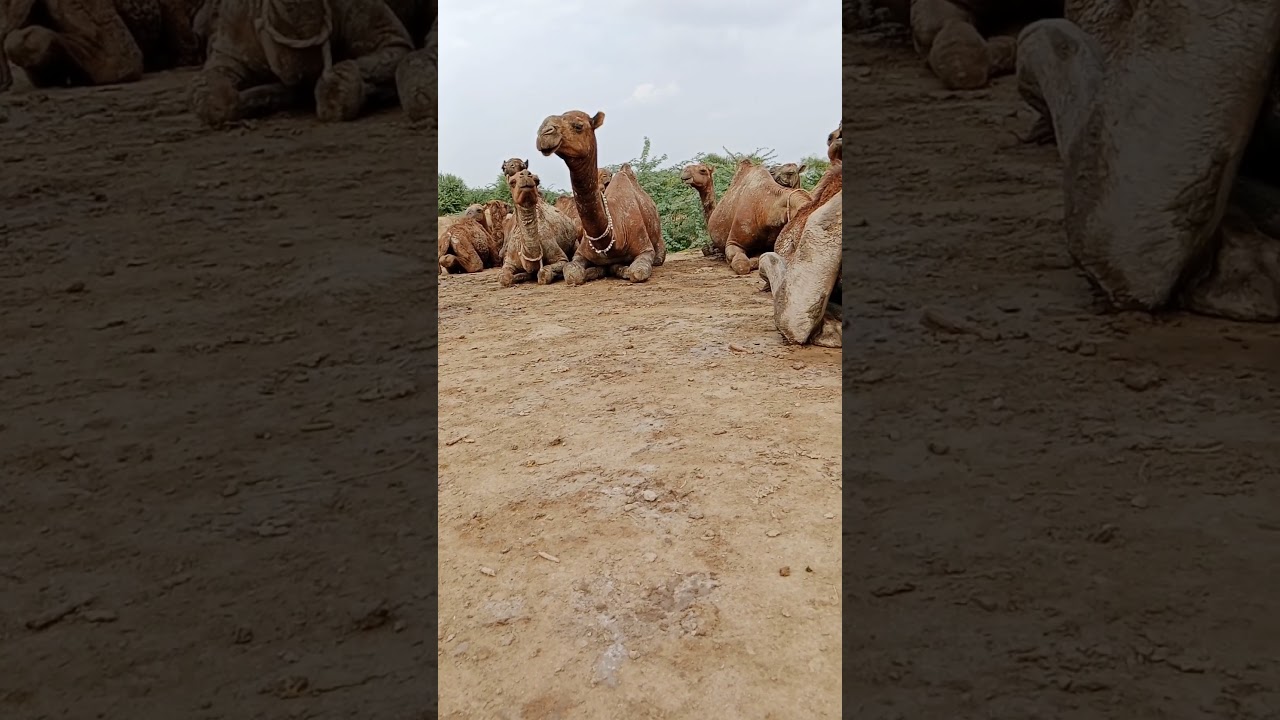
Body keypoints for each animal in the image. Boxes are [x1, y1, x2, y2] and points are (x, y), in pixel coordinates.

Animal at [535, 110, 665, 285]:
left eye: (578, 126)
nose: (544, 134)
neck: (615, 234)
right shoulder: (580, 253)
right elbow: (572, 273)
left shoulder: (646, 249)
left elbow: (637, 272)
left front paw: (621, 268)